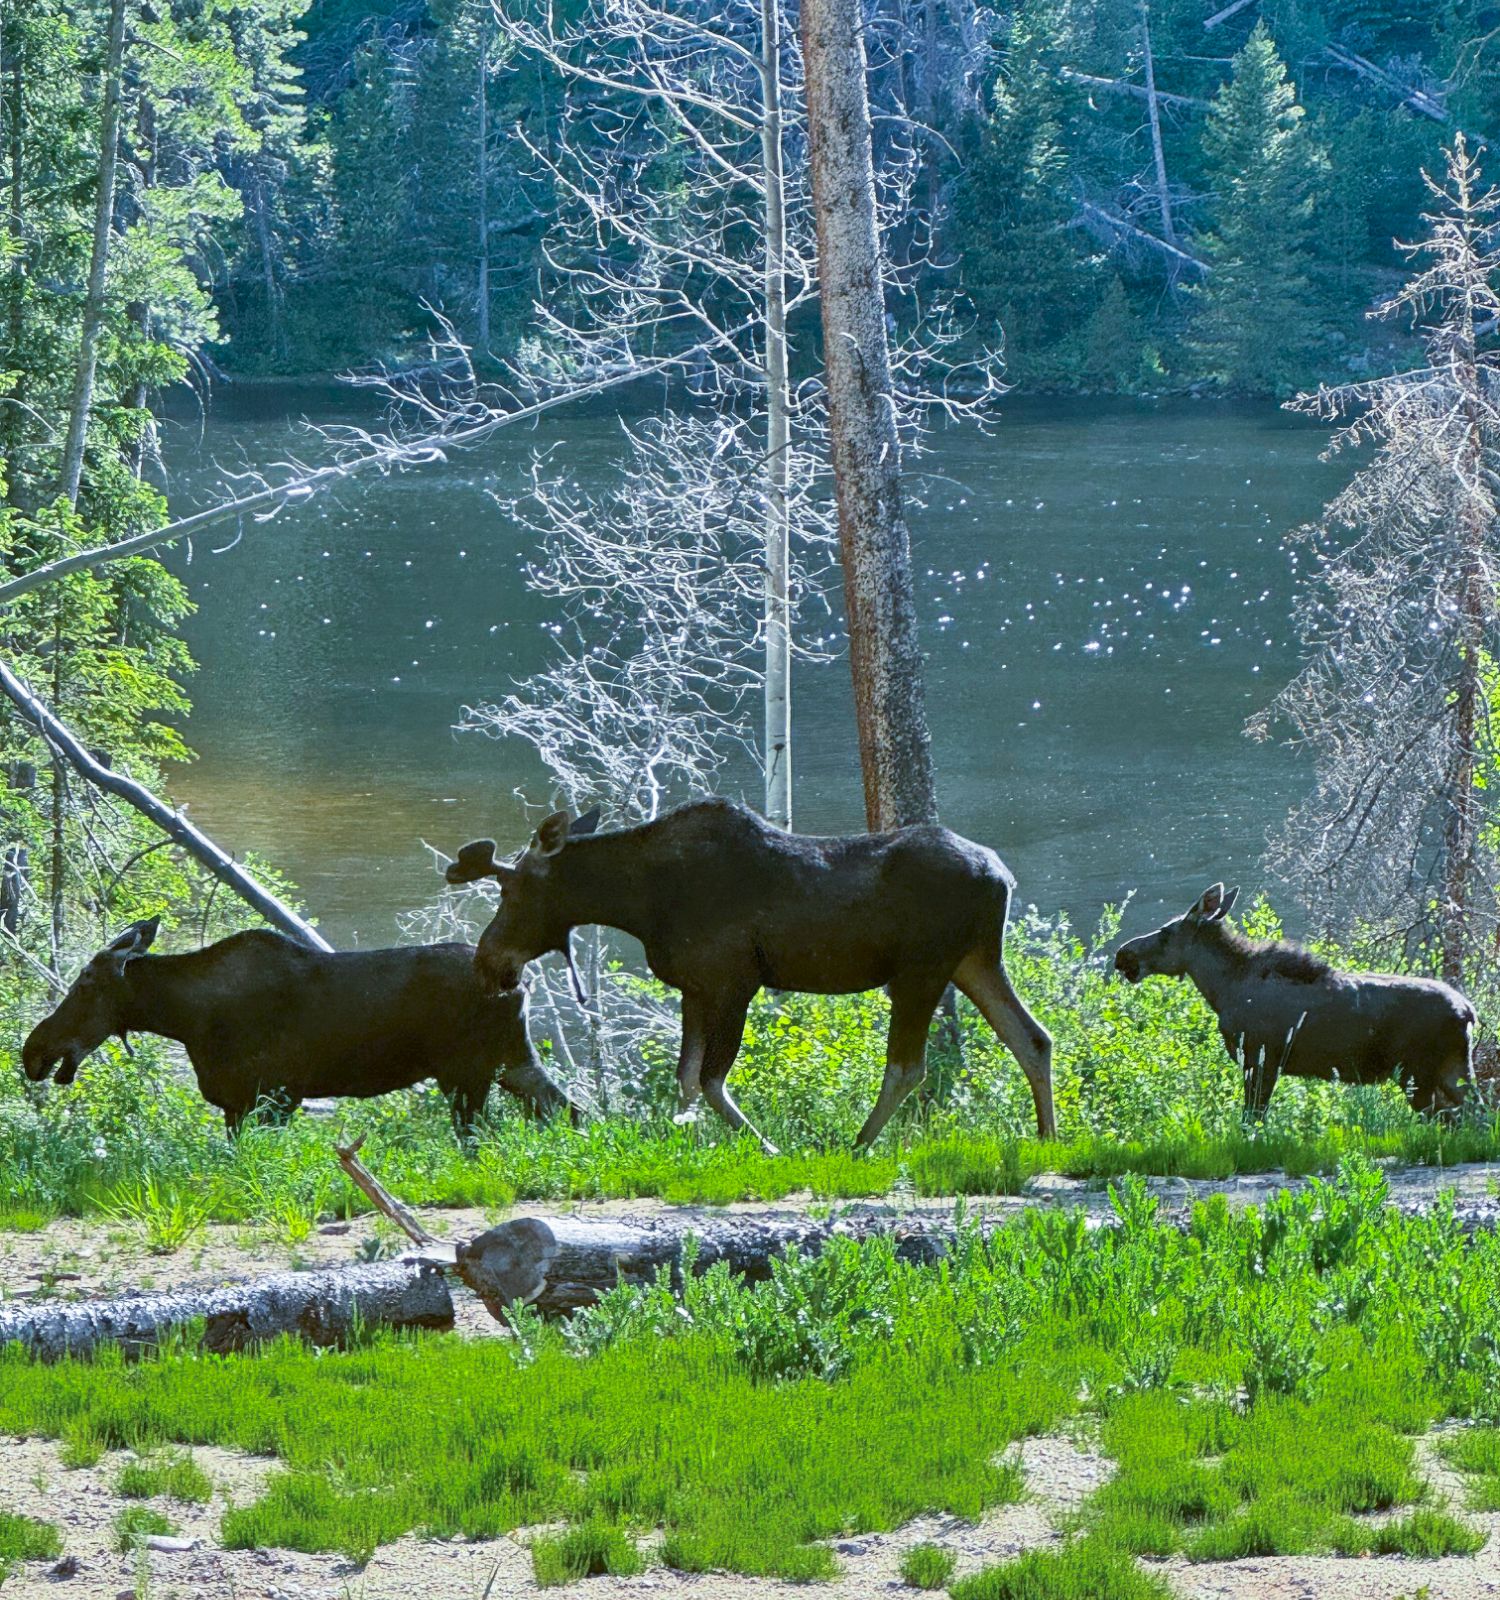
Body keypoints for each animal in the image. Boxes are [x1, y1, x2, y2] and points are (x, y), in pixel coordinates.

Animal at [21, 918, 581, 1137]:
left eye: (86, 984)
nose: (33, 1051)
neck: (186, 1019)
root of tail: (520, 984)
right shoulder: (238, 1104)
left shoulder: (276, 1095)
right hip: (513, 1061)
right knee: (572, 1110)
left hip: (465, 1074)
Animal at [444, 798, 1054, 1153]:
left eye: (510, 889)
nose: (486, 960)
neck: (638, 903)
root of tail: (1003, 875)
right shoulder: (693, 988)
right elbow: (687, 1079)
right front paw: (687, 1145)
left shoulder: (733, 981)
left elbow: (713, 1080)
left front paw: (766, 1147)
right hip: (975, 959)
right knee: (1033, 1038)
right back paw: (1049, 1136)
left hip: (921, 969)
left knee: (909, 1066)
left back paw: (857, 1143)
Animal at [1113, 883, 1475, 1117]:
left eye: (1165, 933)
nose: (1122, 955)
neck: (1221, 988)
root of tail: (1468, 1012)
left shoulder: (1259, 1057)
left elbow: (1251, 1119)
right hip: (1450, 1070)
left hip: (1417, 1074)